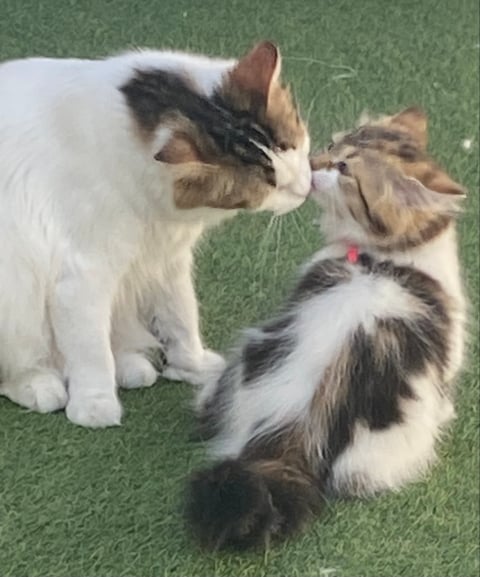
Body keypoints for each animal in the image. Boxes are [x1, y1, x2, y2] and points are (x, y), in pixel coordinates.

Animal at [0, 40, 312, 426]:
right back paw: (41, 385)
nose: (305, 187)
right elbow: (90, 350)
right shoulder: (83, 275)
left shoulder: (167, 259)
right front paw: (94, 405)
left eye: (293, 145)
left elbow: (181, 317)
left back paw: (131, 367)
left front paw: (193, 365)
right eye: (270, 186)